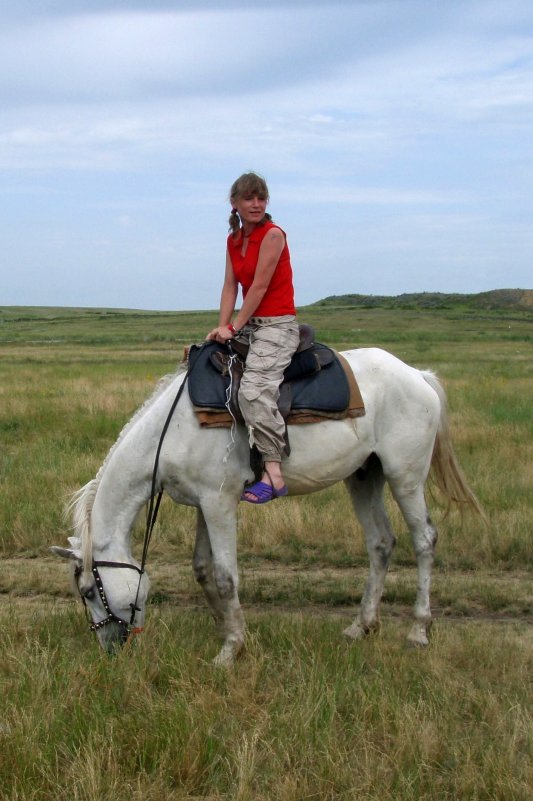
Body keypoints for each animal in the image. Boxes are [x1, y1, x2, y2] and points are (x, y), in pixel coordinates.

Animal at [53, 346, 482, 664]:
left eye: (89, 591)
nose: (110, 649)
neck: (172, 430)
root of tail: (417, 375)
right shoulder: (204, 503)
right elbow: (203, 570)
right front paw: (226, 629)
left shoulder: (219, 502)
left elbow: (226, 576)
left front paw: (230, 650)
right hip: (364, 476)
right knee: (381, 543)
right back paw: (361, 626)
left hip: (404, 476)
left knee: (424, 540)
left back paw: (418, 630)